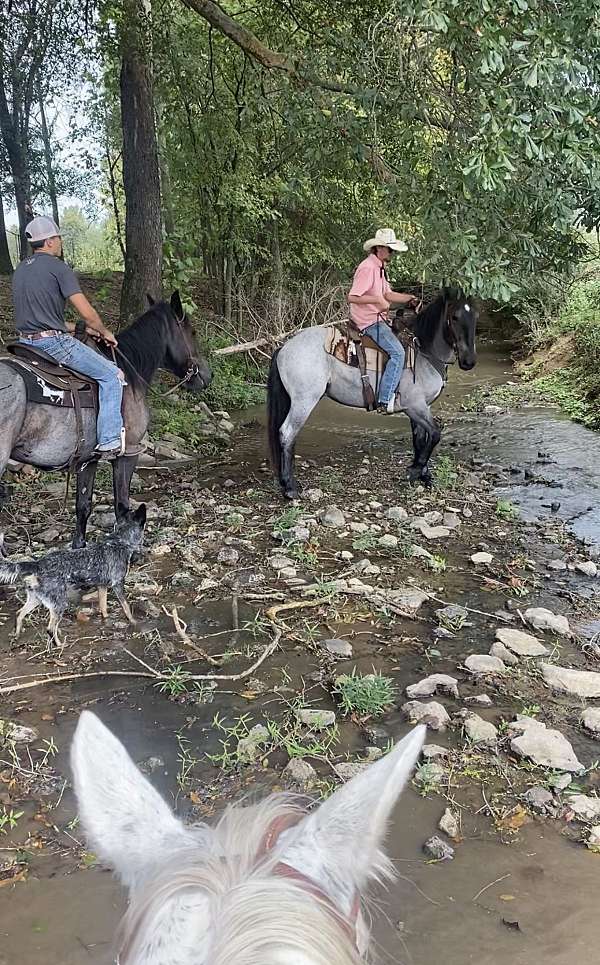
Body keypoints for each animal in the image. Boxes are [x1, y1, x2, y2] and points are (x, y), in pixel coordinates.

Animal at [0, 500, 146, 644]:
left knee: (19, 613)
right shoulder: (118, 584)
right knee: (50, 628)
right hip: (59, 603)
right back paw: (60, 645)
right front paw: (134, 623)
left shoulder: (102, 586)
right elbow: (126, 607)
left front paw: (106, 620)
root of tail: (37, 564)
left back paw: (17, 635)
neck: (119, 541)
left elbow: (104, 607)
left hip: (36, 599)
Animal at [268, 288, 478, 498]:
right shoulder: (415, 406)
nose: (469, 362)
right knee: (287, 433)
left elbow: (420, 439)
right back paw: (290, 488)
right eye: (455, 317)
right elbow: (434, 433)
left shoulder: (419, 408)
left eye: (475, 316)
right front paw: (415, 470)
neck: (424, 353)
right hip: (304, 401)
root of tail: (284, 348)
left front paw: (424, 476)